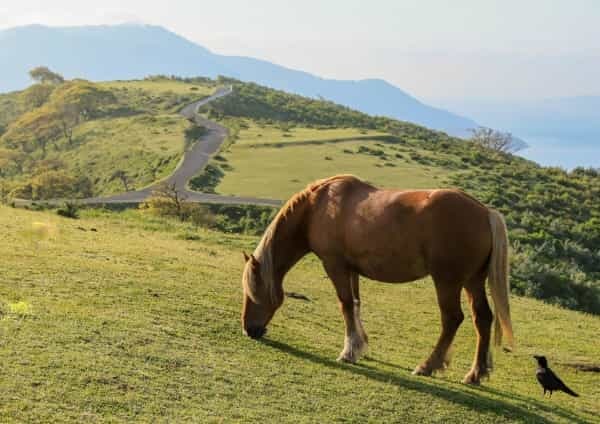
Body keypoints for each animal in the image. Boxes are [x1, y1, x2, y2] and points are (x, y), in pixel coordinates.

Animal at [241, 175, 512, 384]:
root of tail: (485, 212)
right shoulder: (351, 269)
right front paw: (360, 345)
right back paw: (475, 373)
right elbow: (356, 304)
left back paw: (428, 365)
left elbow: (345, 304)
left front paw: (349, 351)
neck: (317, 207)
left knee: (452, 319)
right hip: (472, 281)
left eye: (253, 292)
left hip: (447, 281)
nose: (249, 330)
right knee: (482, 318)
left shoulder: (335, 265)